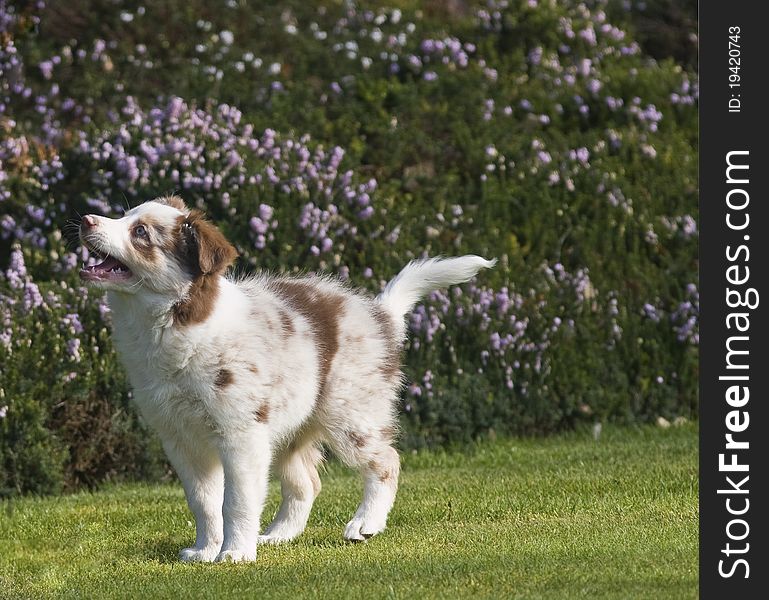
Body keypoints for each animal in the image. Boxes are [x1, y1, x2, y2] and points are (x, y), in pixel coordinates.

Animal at [81, 197, 496, 564]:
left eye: (140, 232)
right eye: (125, 216)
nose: (85, 219)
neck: (171, 325)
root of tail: (383, 315)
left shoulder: (240, 432)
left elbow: (237, 500)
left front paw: (234, 554)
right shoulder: (180, 437)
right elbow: (203, 502)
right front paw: (204, 551)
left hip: (350, 413)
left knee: (386, 460)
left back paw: (365, 524)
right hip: (288, 429)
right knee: (306, 483)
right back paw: (279, 535)